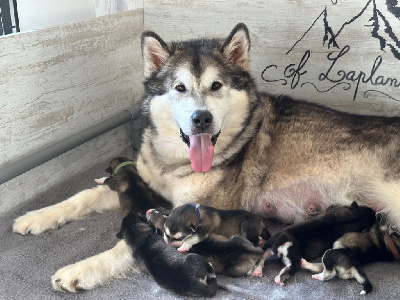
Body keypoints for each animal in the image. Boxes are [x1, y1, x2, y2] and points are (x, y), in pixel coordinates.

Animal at [12, 24, 400, 292]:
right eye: (180, 88)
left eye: (216, 86)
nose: (201, 118)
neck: (176, 164)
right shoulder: (139, 183)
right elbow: (80, 197)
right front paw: (37, 216)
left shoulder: (186, 214)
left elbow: (129, 245)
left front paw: (81, 269)